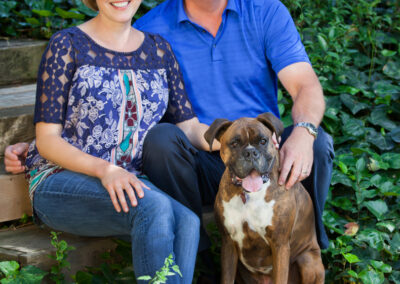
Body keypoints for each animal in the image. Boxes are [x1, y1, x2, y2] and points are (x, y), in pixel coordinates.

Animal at [205, 113, 324, 284]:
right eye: (234, 143)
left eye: (263, 141)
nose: (250, 153)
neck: (248, 195)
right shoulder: (228, 243)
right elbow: (226, 278)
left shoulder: (280, 244)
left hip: (308, 261)